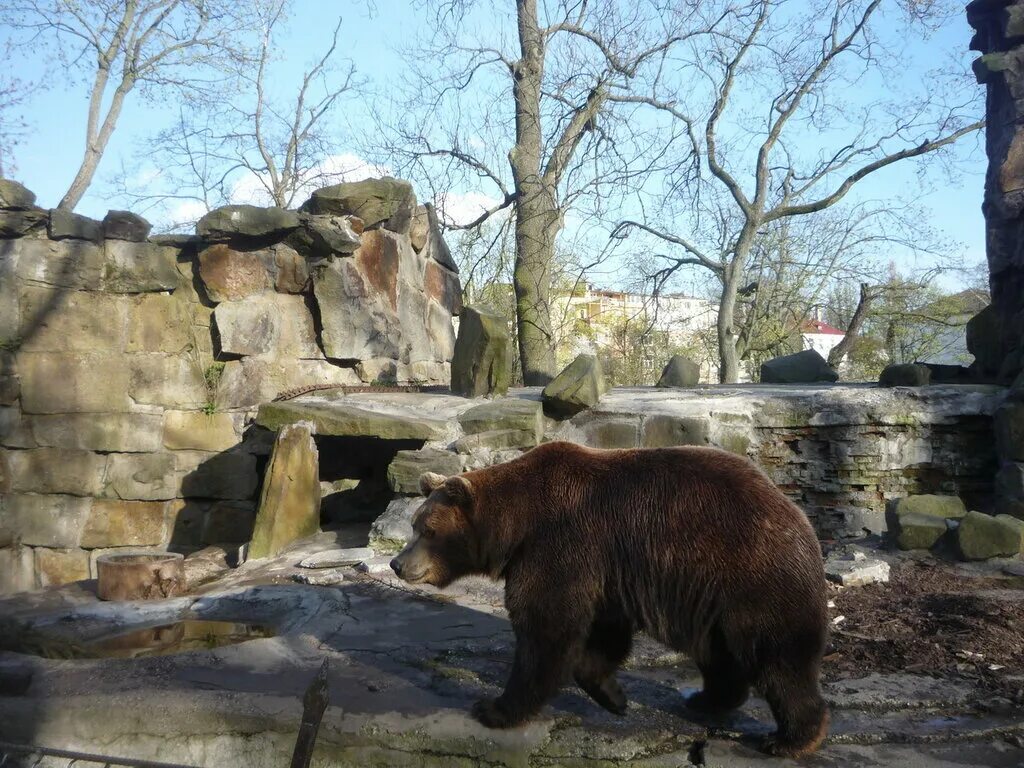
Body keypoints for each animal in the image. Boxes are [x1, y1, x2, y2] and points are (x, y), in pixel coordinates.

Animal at [387, 438, 827, 757]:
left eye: (427, 530)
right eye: (414, 525)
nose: (397, 563)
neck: (516, 525)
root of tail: (800, 518)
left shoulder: (561, 544)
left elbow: (545, 628)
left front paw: (494, 708)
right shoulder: (603, 569)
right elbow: (600, 635)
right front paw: (614, 696)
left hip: (750, 578)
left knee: (776, 657)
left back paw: (789, 738)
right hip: (709, 598)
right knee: (717, 652)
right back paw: (707, 698)